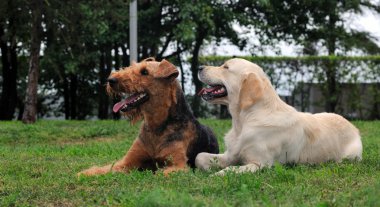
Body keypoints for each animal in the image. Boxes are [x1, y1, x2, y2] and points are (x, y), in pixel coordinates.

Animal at [78, 58, 218, 176]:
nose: (111, 80)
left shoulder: (179, 165)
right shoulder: (126, 162)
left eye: (144, 72)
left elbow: (161, 172)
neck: (156, 126)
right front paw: (84, 173)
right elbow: (105, 168)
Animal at [196, 57, 362, 175]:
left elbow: (231, 170)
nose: (199, 67)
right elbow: (200, 156)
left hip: (351, 156)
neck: (244, 120)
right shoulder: (230, 154)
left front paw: (216, 174)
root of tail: (352, 126)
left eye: (226, 67)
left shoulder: (260, 163)